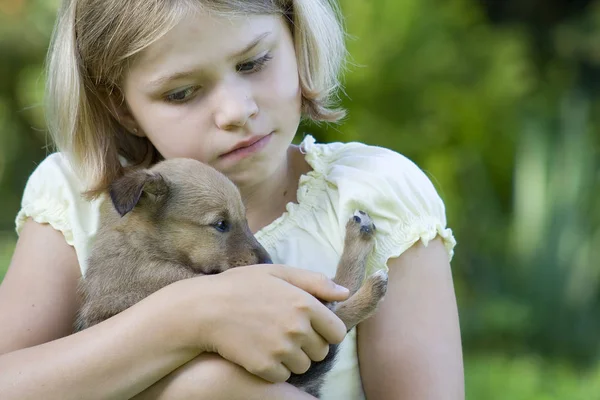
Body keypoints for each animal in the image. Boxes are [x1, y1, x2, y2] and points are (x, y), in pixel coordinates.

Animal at [75, 158, 386, 398]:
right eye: (221, 224)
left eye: (244, 219)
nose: (268, 263)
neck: (141, 247)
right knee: (333, 313)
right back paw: (371, 286)